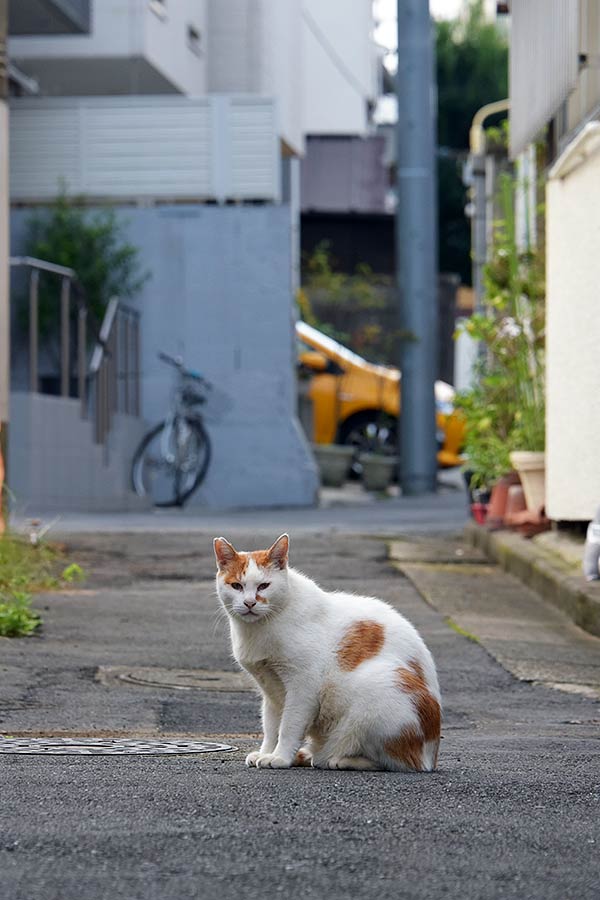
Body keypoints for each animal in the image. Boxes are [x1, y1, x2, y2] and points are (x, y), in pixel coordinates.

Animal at [213, 536, 438, 772]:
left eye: (264, 586)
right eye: (236, 586)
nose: (249, 603)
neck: (260, 629)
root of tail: (430, 756)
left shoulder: (303, 686)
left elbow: (289, 726)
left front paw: (280, 757)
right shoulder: (271, 689)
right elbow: (271, 726)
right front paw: (267, 752)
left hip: (378, 691)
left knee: (394, 761)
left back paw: (339, 759)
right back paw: (308, 755)